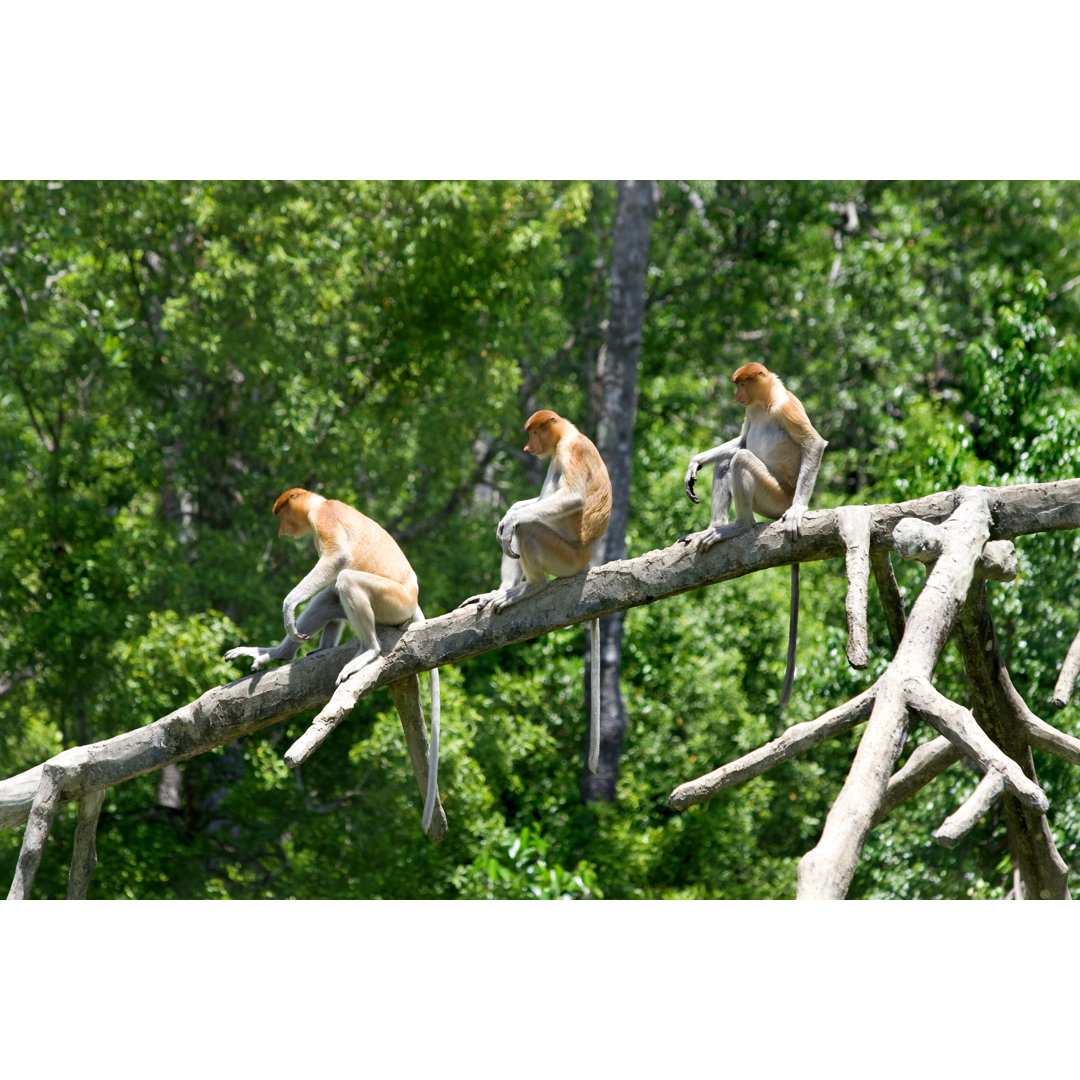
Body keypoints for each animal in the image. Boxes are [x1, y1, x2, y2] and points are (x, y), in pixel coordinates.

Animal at [227, 490, 442, 833]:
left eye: (282, 514)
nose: (281, 532)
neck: (319, 503)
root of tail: (413, 601)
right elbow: (329, 586)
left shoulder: (324, 520)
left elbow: (337, 559)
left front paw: (288, 606)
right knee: (330, 596)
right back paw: (277, 653)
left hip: (391, 601)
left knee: (346, 581)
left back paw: (367, 651)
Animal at [466, 408, 617, 773]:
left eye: (534, 432)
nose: (527, 446)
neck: (567, 435)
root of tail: (587, 559)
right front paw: (509, 511)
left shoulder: (569, 453)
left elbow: (571, 498)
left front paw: (510, 519)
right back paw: (501, 590)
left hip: (563, 554)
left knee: (528, 529)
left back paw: (529, 586)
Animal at [682, 362, 825, 708]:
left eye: (742, 384)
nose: (737, 398)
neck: (764, 404)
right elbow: (742, 439)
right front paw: (695, 462)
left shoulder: (787, 406)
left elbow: (813, 444)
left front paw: (799, 511)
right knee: (727, 461)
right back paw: (712, 528)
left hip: (774, 496)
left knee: (741, 460)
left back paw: (739, 526)